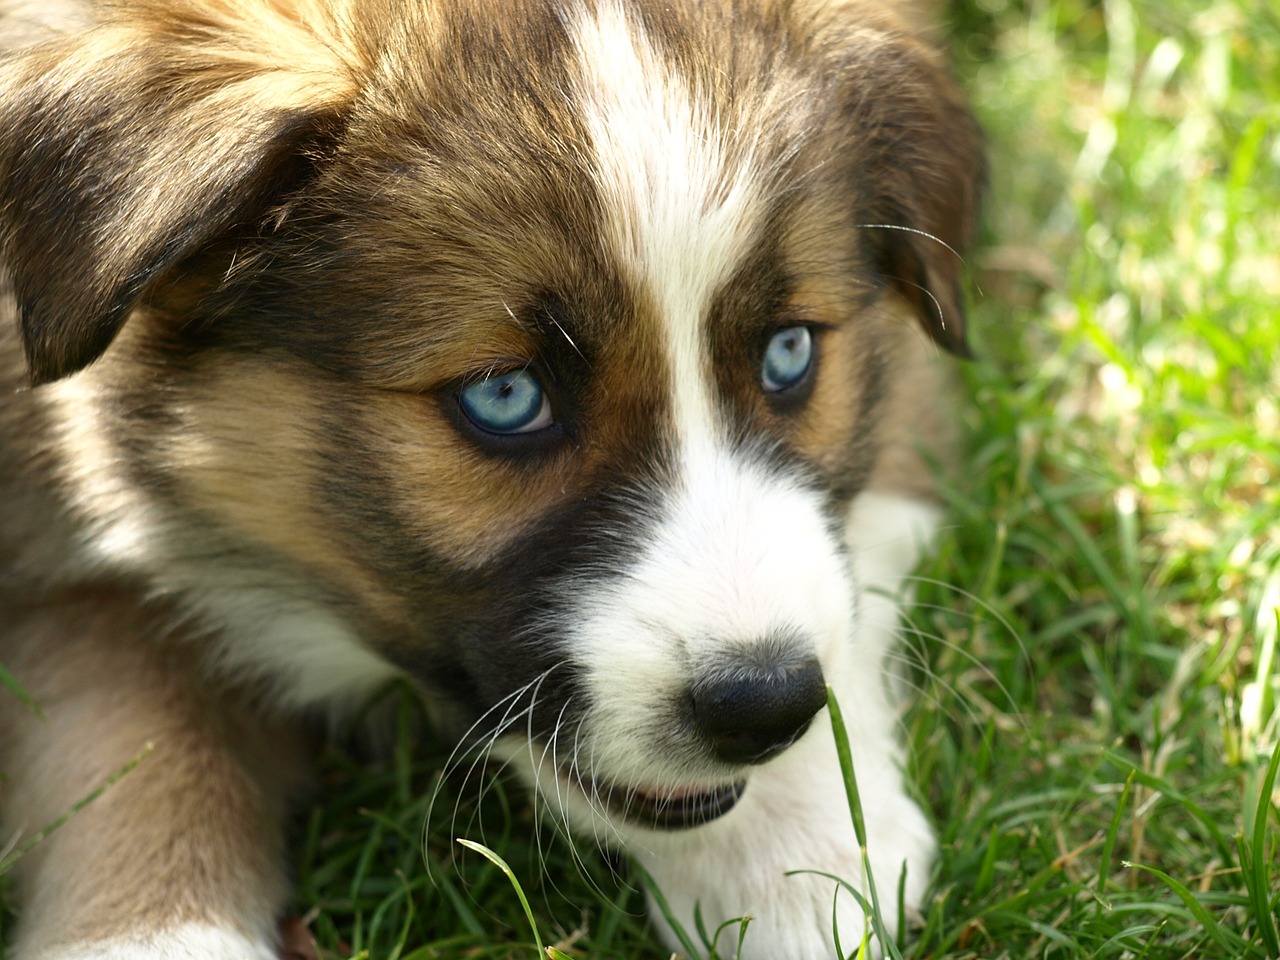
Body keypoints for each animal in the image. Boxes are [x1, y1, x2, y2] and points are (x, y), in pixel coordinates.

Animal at [0, 3, 977, 957]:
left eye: (790, 353)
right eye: (505, 397)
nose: (767, 706)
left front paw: (795, 848)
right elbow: (130, 723)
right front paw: (150, 934)